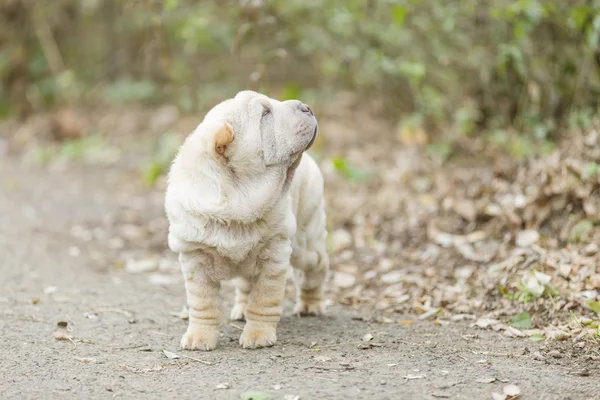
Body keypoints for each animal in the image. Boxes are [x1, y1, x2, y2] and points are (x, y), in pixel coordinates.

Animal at [165, 90, 328, 350]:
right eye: (265, 114)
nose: (307, 107)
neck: (238, 201)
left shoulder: (274, 257)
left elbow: (264, 300)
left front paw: (258, 335)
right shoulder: (195, 258)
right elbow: (202, 304)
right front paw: (199, 337)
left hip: (307, 245)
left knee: (316, 271)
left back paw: (311, 305)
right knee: (245, 286)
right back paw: (241, 310)